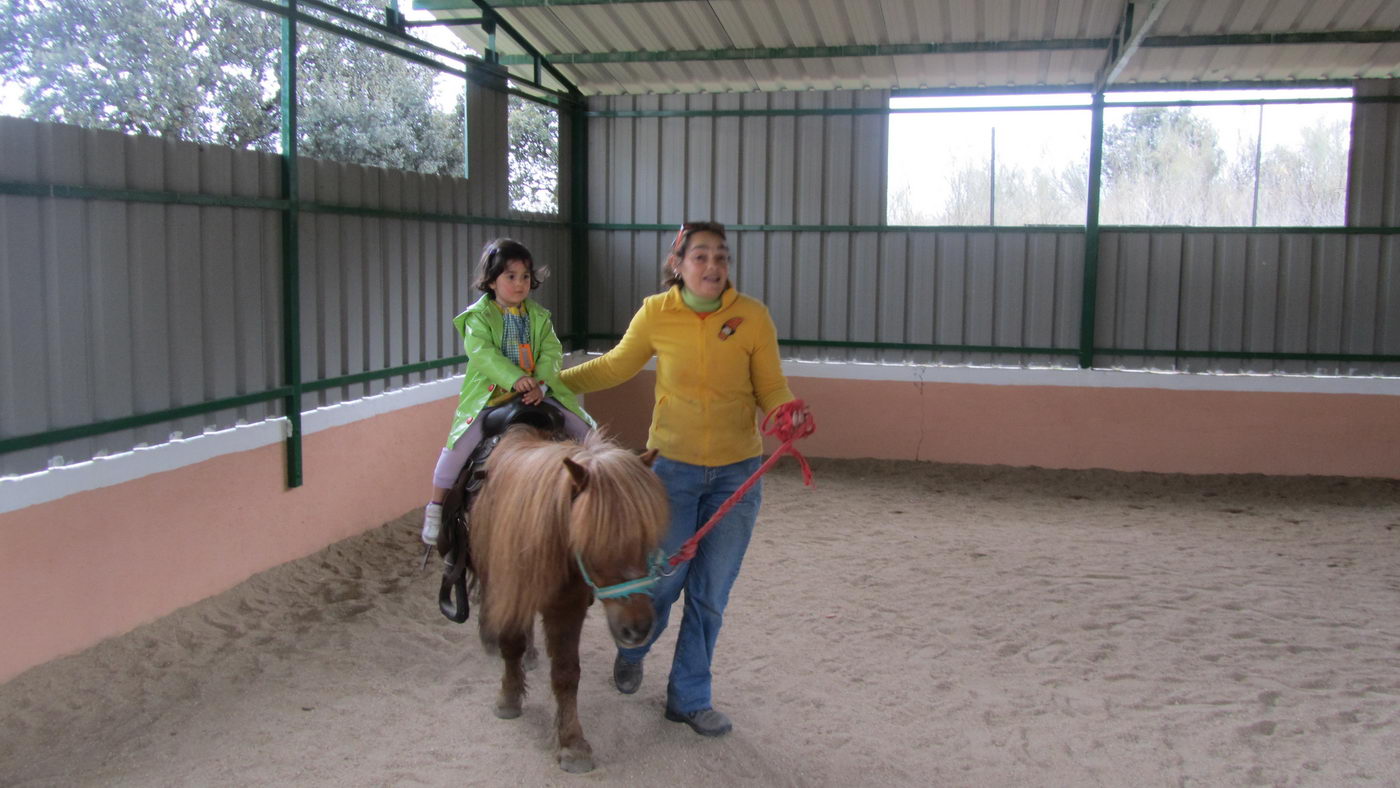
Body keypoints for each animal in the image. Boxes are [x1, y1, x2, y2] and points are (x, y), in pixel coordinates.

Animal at [467, 428, 669, 772]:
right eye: (592, 541)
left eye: (647, 538)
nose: (638, 629)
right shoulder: (510, 590)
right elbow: (510, 646)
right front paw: (508, 698)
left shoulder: (567, 607)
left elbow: (566, 673)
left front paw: (572, 743)